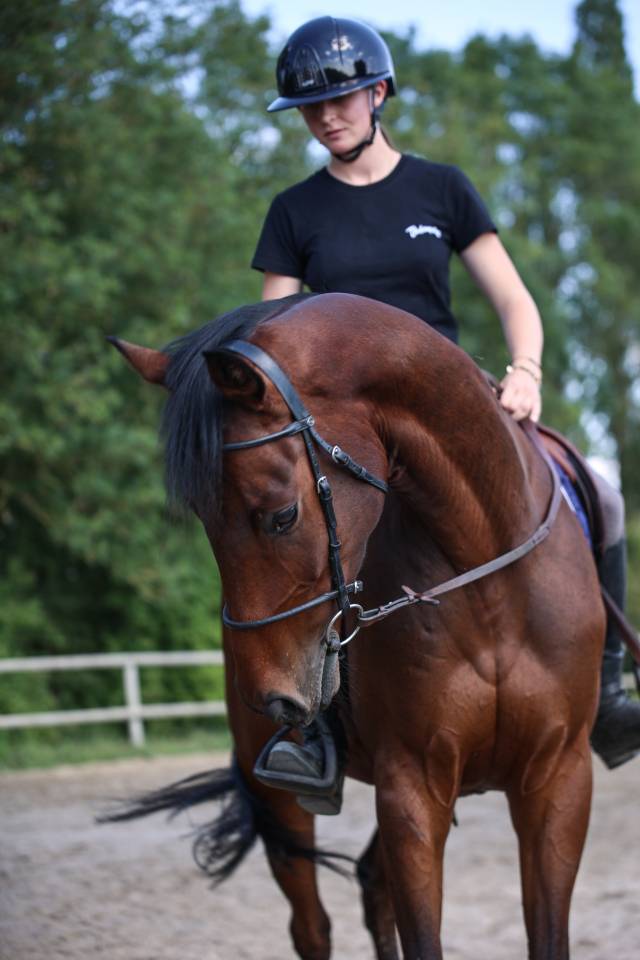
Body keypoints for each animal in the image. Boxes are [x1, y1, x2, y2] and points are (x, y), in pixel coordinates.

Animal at [109, 292, 604, 960]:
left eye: (282, 515)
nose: (270, 696)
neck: (490, 583)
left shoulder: (559, 782)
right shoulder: (412, 787)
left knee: (371, 885)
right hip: (280, 803)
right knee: (312, 925)